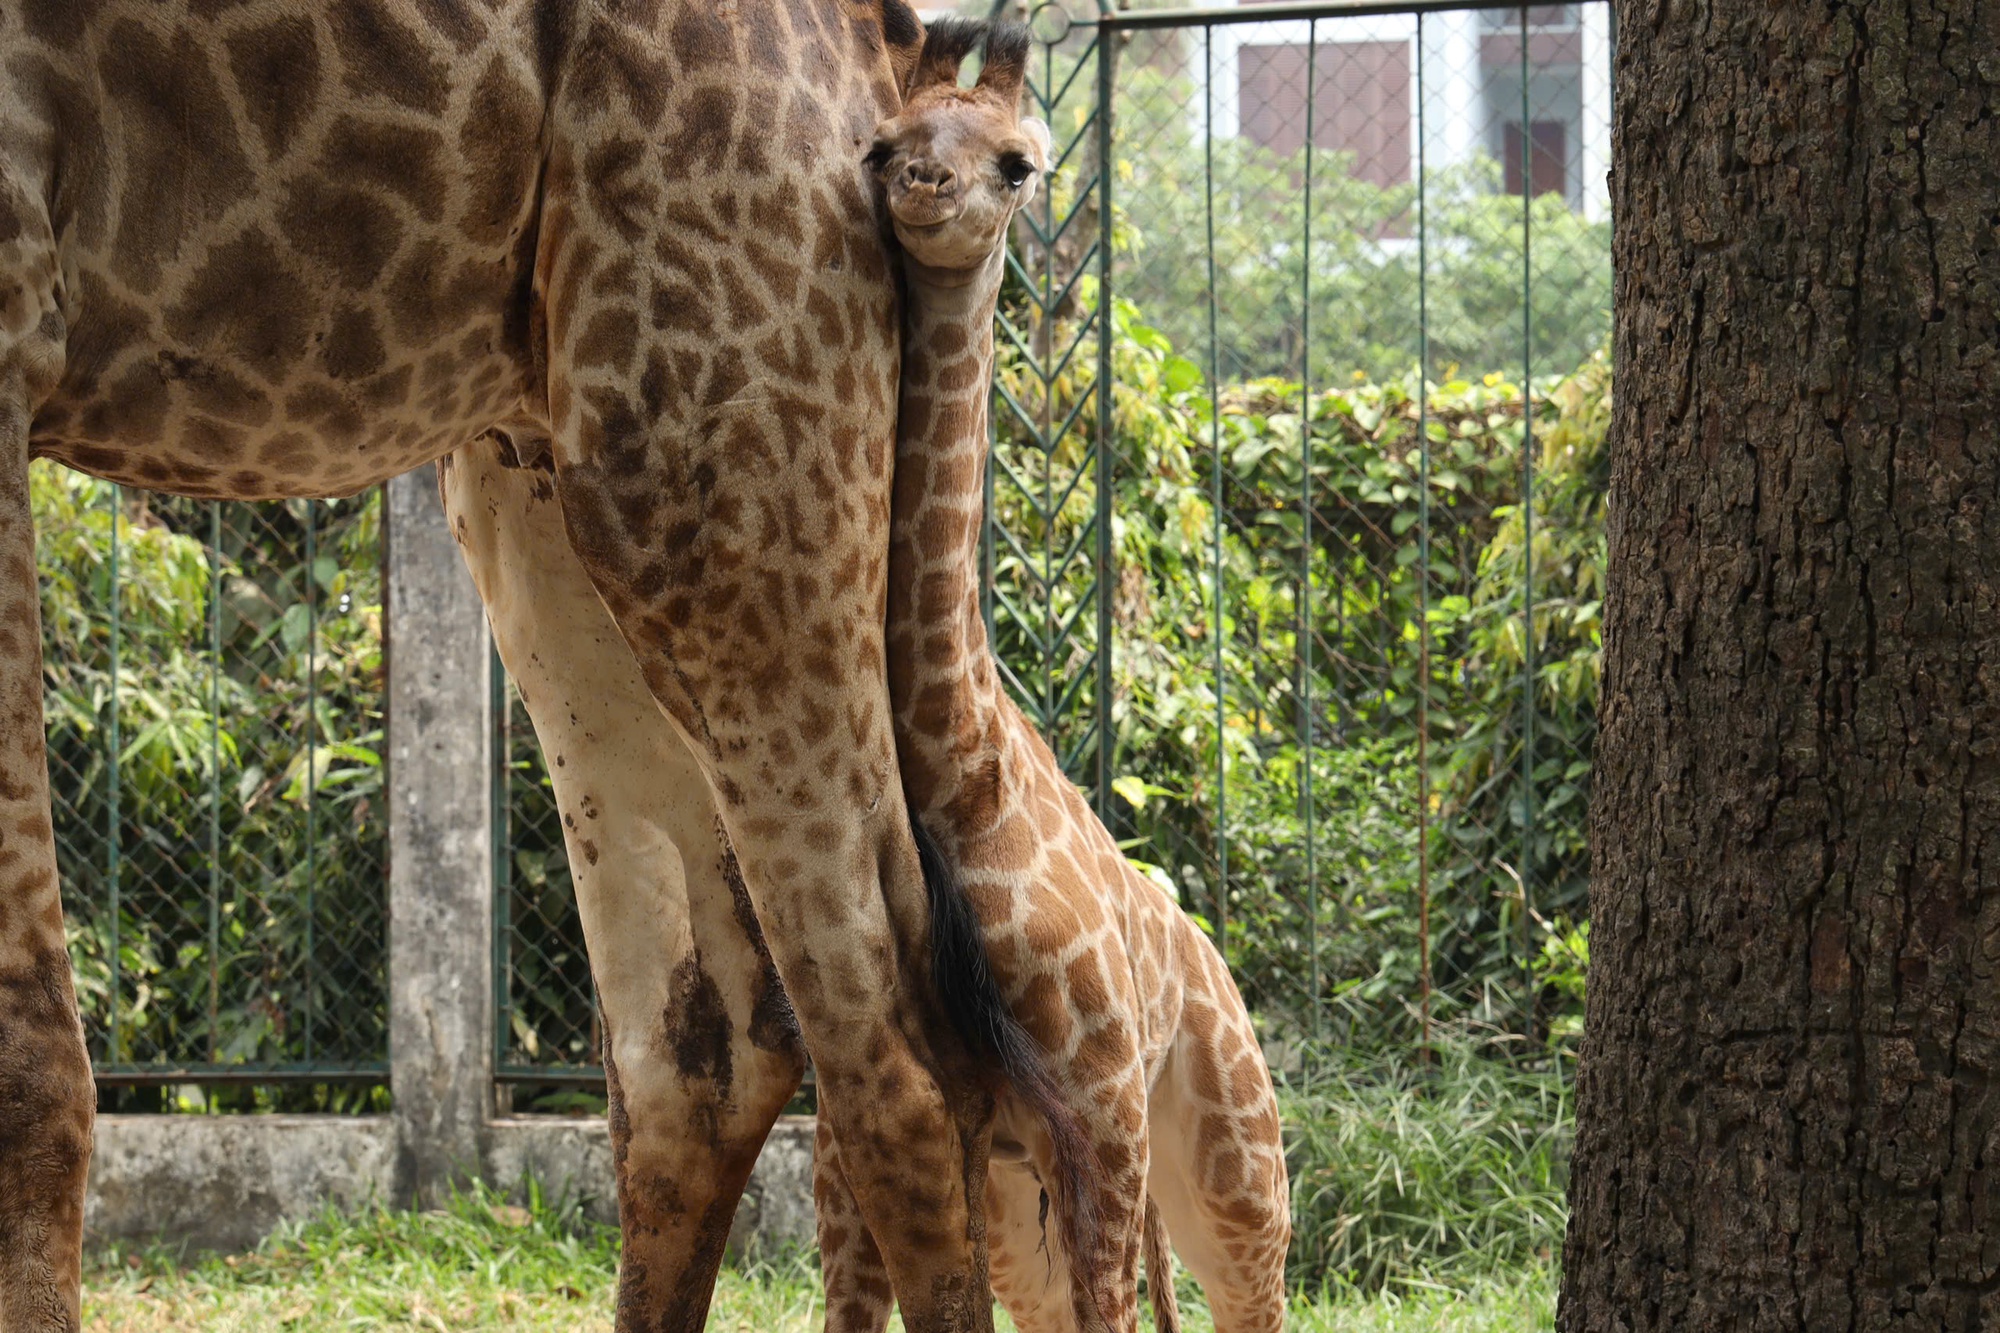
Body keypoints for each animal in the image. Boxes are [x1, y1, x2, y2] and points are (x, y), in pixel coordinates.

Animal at [0, 5, 1000, 1320]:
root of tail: (884, 48)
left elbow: (27, 1054)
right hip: (544, 456)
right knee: (702, 1044)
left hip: (715, 424)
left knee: (893, 1040)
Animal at [816, 18, 1296, 1328]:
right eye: (883, 139)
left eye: (1020, 162)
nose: (921, 186)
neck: (964, 774)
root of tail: (1208, 956)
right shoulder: (878, 1143)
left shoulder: (1100, 1115)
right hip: (1040, 1202)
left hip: (1232, 1169)